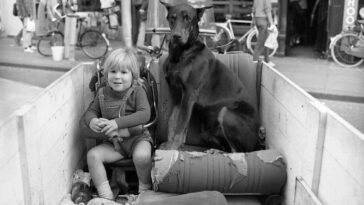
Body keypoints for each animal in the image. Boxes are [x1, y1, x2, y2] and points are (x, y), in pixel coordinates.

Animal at [159, 1, 258, 152]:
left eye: (188, 18)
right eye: (172, 18)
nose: (176, 36)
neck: (180, 54)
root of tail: (259, 142)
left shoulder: (189, 94)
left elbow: (180, 126)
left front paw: (172, 147)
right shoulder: (176, 94)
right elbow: (172, 122)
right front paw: (169, 145)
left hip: (225, 112)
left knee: (237, 152)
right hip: (205, 133)